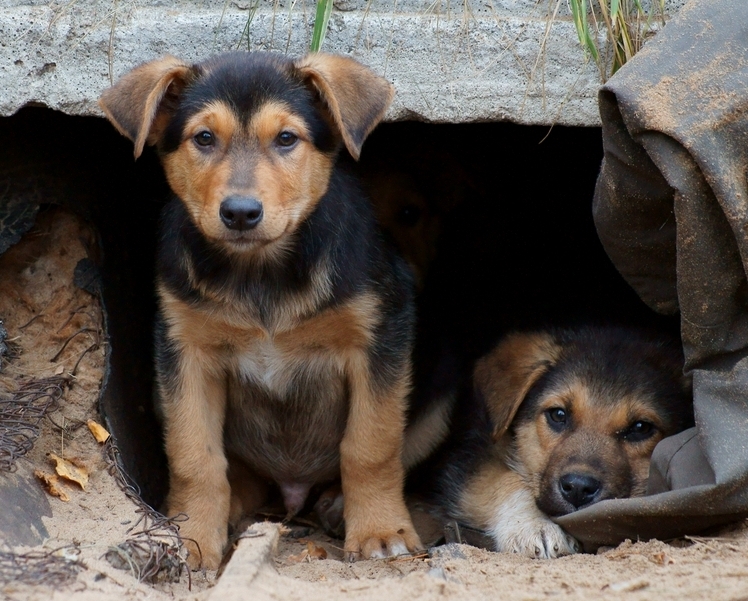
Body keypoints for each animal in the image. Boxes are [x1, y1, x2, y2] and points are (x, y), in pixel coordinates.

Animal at [99, 51, 424, 568]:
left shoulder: (381, 332)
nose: (240, 213)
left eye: (286, 138)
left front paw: (379, 530)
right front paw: (192, 536)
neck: (260, 274)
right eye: (204, 138)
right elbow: (195, 455)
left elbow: (370, 445)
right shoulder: (184, 349)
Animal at [442, 328, 692, 556]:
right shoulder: (472, 462)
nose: (578, 488)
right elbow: (504, 481)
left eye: (641, 428)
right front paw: (534, 525)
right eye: (558, 414)